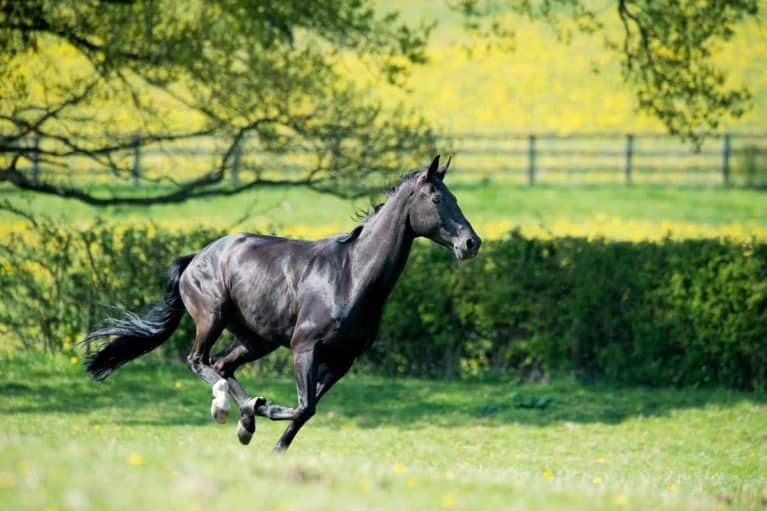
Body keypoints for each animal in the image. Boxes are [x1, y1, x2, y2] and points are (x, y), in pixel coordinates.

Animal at [84, 156, 480, 452]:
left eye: (456, 199)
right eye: (436, 199)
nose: (471, 243)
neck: (350, 276)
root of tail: (196, 257)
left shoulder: (342, 361)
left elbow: (309, 411)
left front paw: (272, 443)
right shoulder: (305, 348)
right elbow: (304, 406)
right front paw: (264, 408)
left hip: (256, 339)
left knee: (223, 366)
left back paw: (244, 418)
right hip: (212, 318)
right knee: (198, 360)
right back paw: (227, 409)